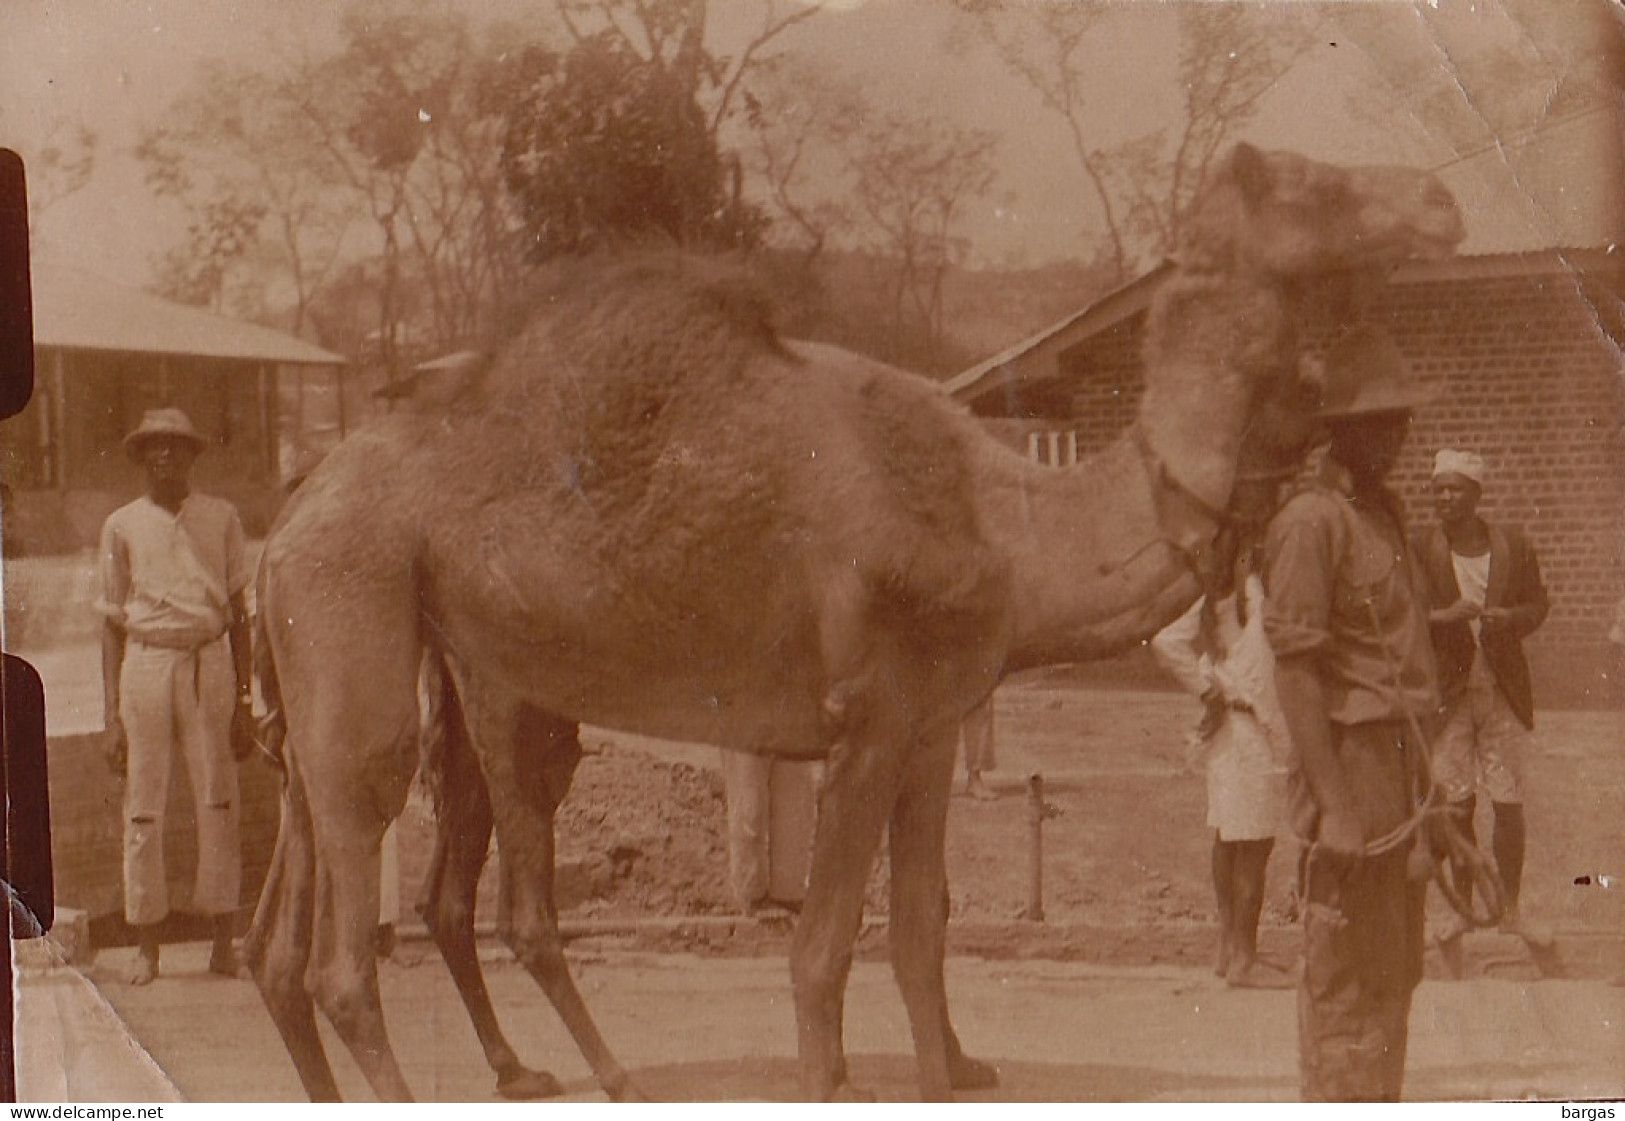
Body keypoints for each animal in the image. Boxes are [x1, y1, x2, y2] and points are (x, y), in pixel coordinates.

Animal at [243, 142, 1462, 1098]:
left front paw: (948, 1069)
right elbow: (824, 944)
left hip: (337, 665)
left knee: (291, 933)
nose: (1443, 203)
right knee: (357, 932)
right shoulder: (867, 716)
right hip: (360, 606)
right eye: (1315, 183)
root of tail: (292, 499)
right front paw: (832, 1077)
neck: (1008, 525)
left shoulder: (930, 725)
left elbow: (921, 929)